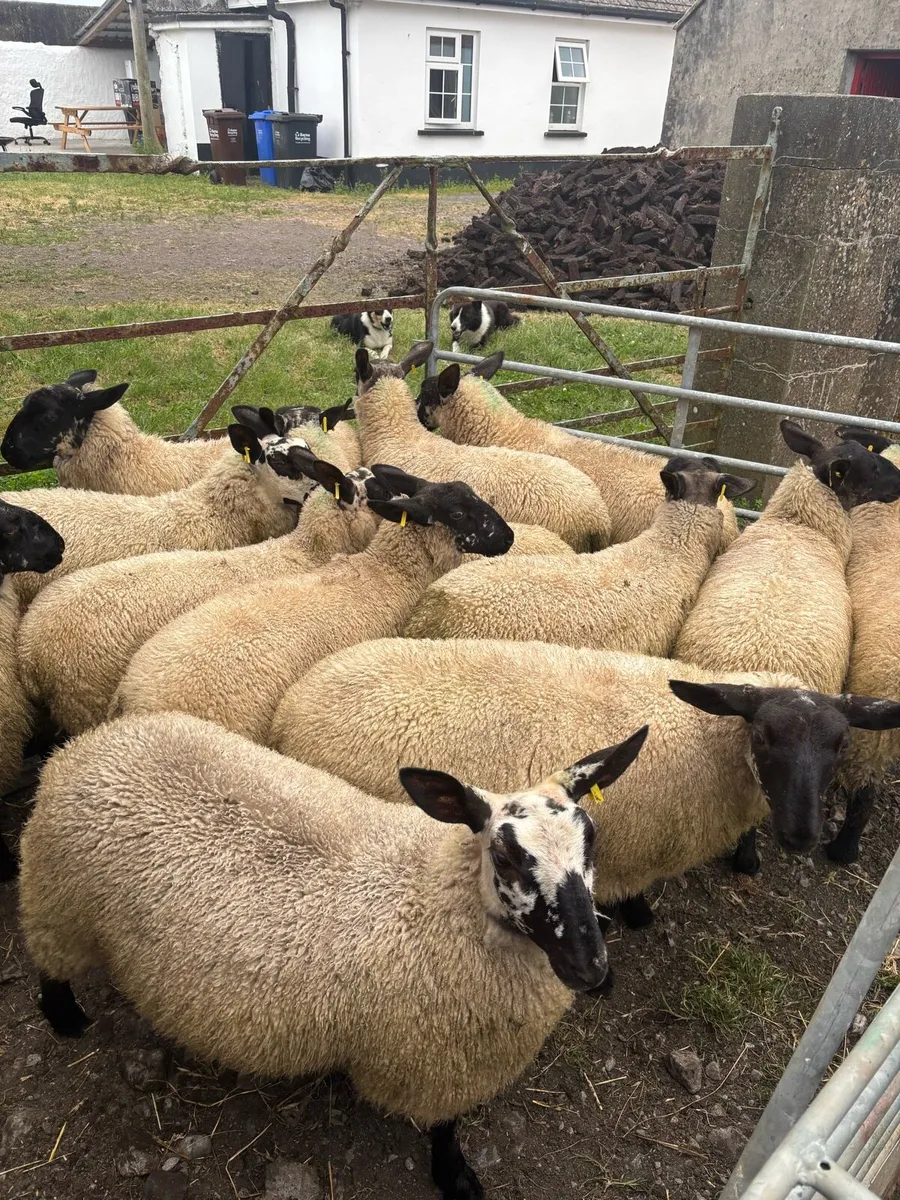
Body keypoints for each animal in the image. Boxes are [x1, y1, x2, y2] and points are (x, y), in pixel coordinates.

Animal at [19, 710, 646, 1197]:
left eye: (592, 840)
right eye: (508, 858)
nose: (591, 968)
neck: (438, 891)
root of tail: (85, 744)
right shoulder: (437, 1063)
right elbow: (444, 1130)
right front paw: (456, 1178)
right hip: (57, 902)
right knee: (48, 961)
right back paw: (65, 1017)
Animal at [269, 639, 900, 922]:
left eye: (841, 744)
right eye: (764, 736)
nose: (801, 836)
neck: (704, 742)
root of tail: (292, 701)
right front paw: (639, 917)